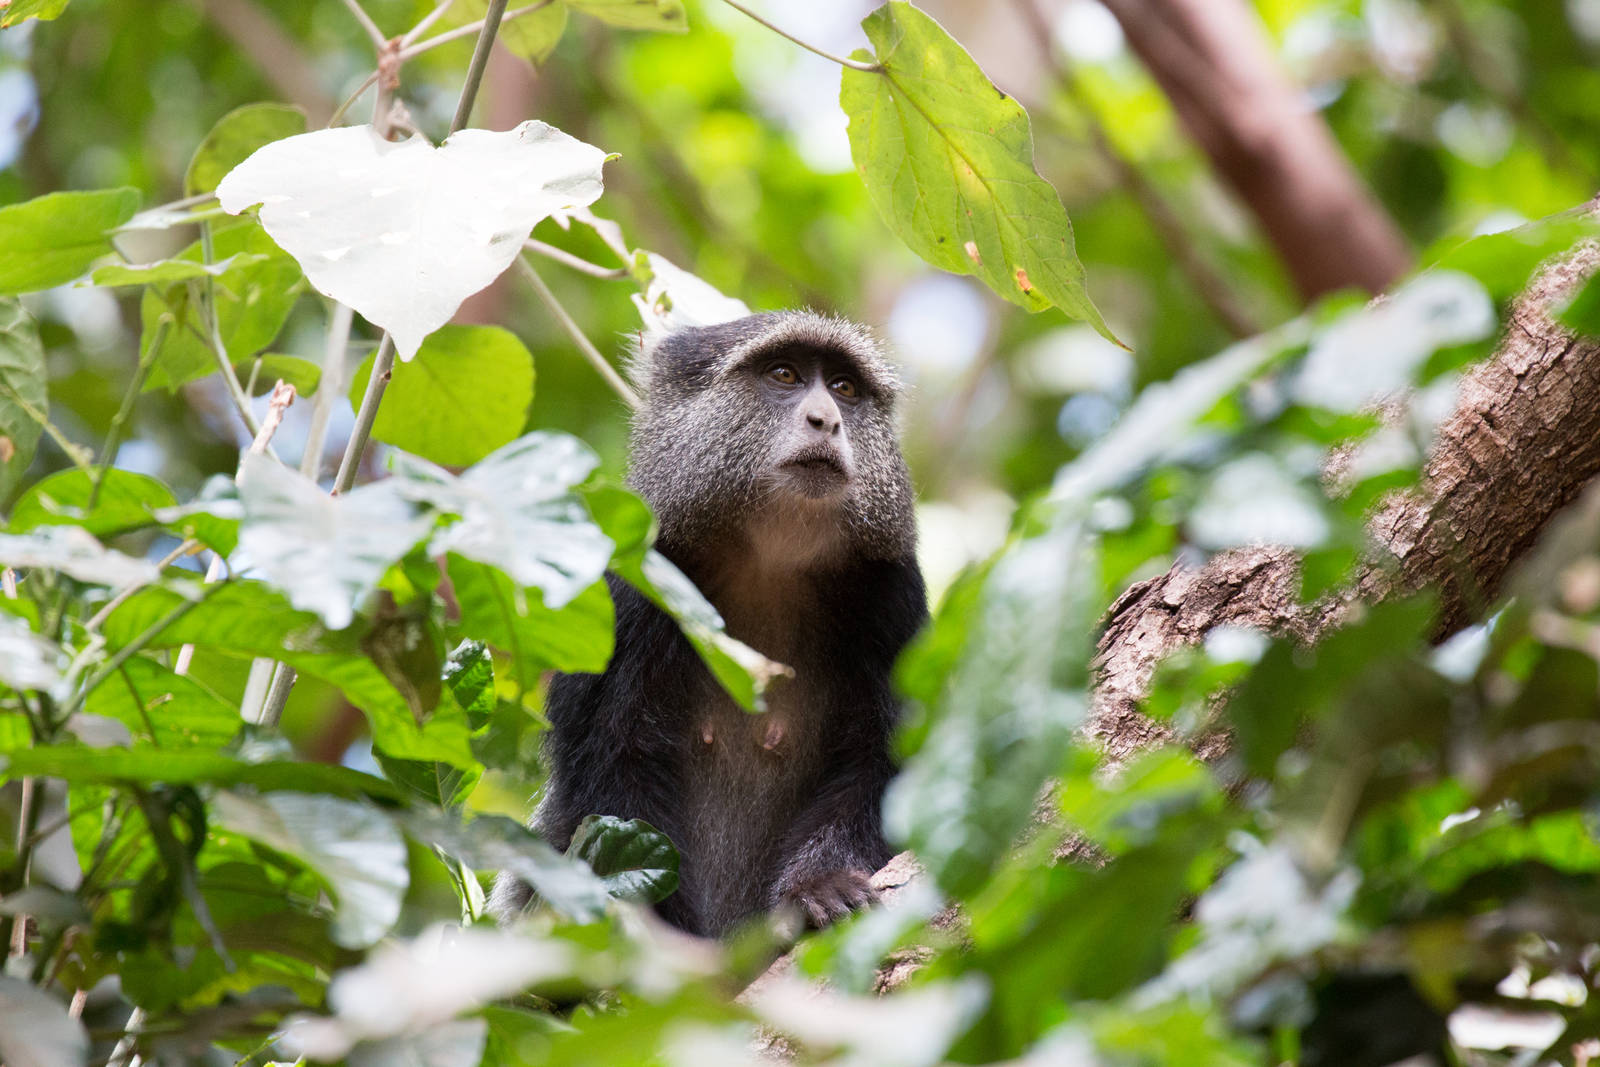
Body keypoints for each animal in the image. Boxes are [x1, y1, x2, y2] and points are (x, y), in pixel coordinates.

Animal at [488, 310, 927, 937]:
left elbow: (880, 763)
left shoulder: (893, 595)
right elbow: (617, 771)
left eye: (845, 388)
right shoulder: (632, 582)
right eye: (785, 374)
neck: (770, 558)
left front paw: (821, 885)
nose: (827, 418)